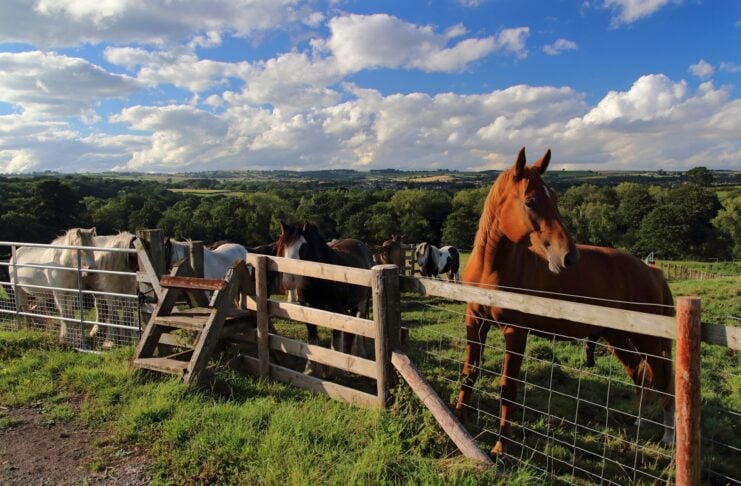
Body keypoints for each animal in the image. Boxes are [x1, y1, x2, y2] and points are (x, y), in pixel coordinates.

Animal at [275, 221, 373, 378]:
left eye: (303, 248)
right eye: (282, 246)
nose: (289, 280)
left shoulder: (336, 311)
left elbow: (336, 340)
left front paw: (336, 371)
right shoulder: (308, 310)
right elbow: (313, 339)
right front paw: (311, 370)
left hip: (362, 302)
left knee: (358, 325)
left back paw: (360, 354)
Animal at [455, 148, 675, 455]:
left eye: (556, 200)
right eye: (531, 201)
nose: (569, 257)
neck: (492, 270)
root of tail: (651, 270)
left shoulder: (515, 331)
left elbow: (508, 387)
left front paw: (501, 448)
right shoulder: (475, 321)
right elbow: (469, 374)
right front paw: (459, 423)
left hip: (648, 340)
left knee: (664, 380)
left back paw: (669, 435)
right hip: (617, 336)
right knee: (641, 375)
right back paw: (641, 422)